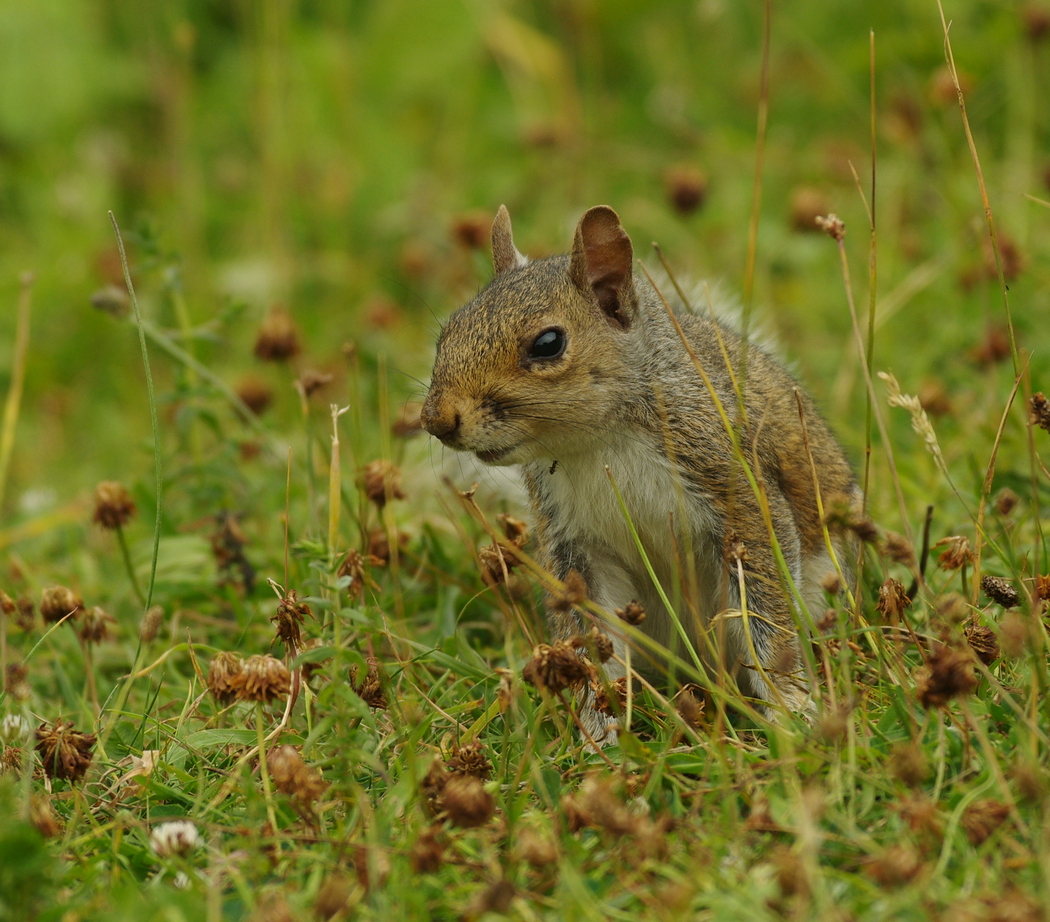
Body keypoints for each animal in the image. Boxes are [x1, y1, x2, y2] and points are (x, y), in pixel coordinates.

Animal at [421, 205, 859, 744]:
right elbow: (591, 634)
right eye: (447, 331)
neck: (597, 442)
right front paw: (597, 731)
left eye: (548, 343)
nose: (437, 420)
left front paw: (792, 708)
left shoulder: (735, 486)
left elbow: (765, 606)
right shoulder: (574, 540)